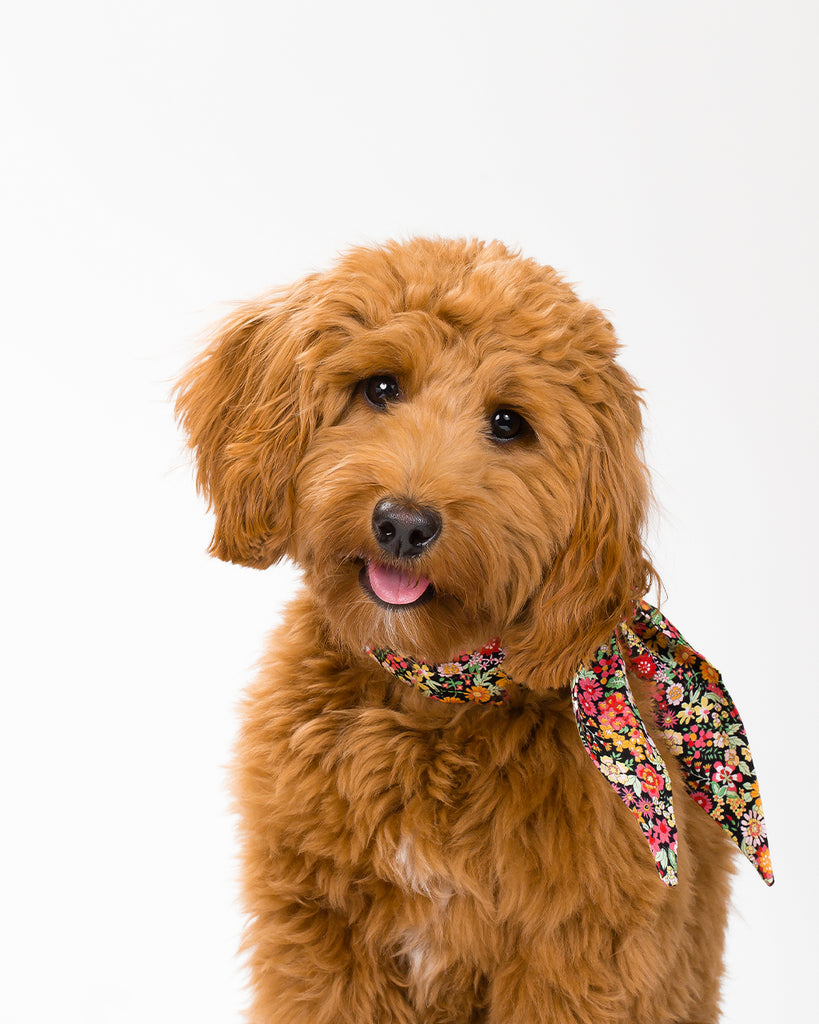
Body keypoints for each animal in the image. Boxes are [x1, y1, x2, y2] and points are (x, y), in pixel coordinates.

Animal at [176, 237, 769, 1024]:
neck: (432, 697)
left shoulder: (572, 955)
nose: (403, 523)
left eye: (508, 423)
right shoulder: (316, 932)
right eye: (380, 387)